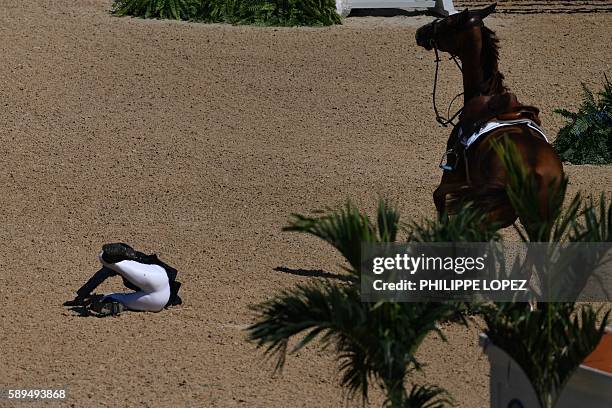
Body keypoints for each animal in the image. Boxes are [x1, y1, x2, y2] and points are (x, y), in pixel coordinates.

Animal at [416, 3, 564, 230]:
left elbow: (438, 197)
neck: (484, 93)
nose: (421, 32)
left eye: (447, 22)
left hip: (488, 215)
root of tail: (532, 171)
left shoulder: (451, 172)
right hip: (534, 223)